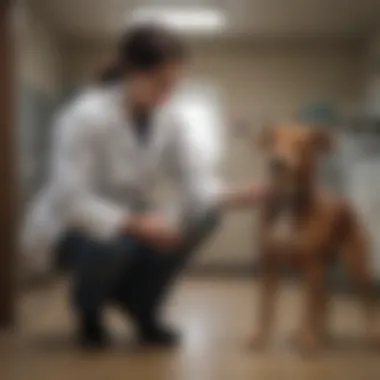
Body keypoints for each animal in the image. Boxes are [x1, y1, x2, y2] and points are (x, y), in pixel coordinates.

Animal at [252, 124, 374, 354]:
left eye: (302, 143)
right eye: (273, 140)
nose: (276, 162)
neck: (288, 202)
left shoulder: (312, 267)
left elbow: (308, 310)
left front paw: (308, 341)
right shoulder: (269, 266)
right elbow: (265, 307)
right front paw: (260, 338)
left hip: (356, 268)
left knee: (365, 302)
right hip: (316, 271)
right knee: (324, 301)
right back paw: (321, 335)